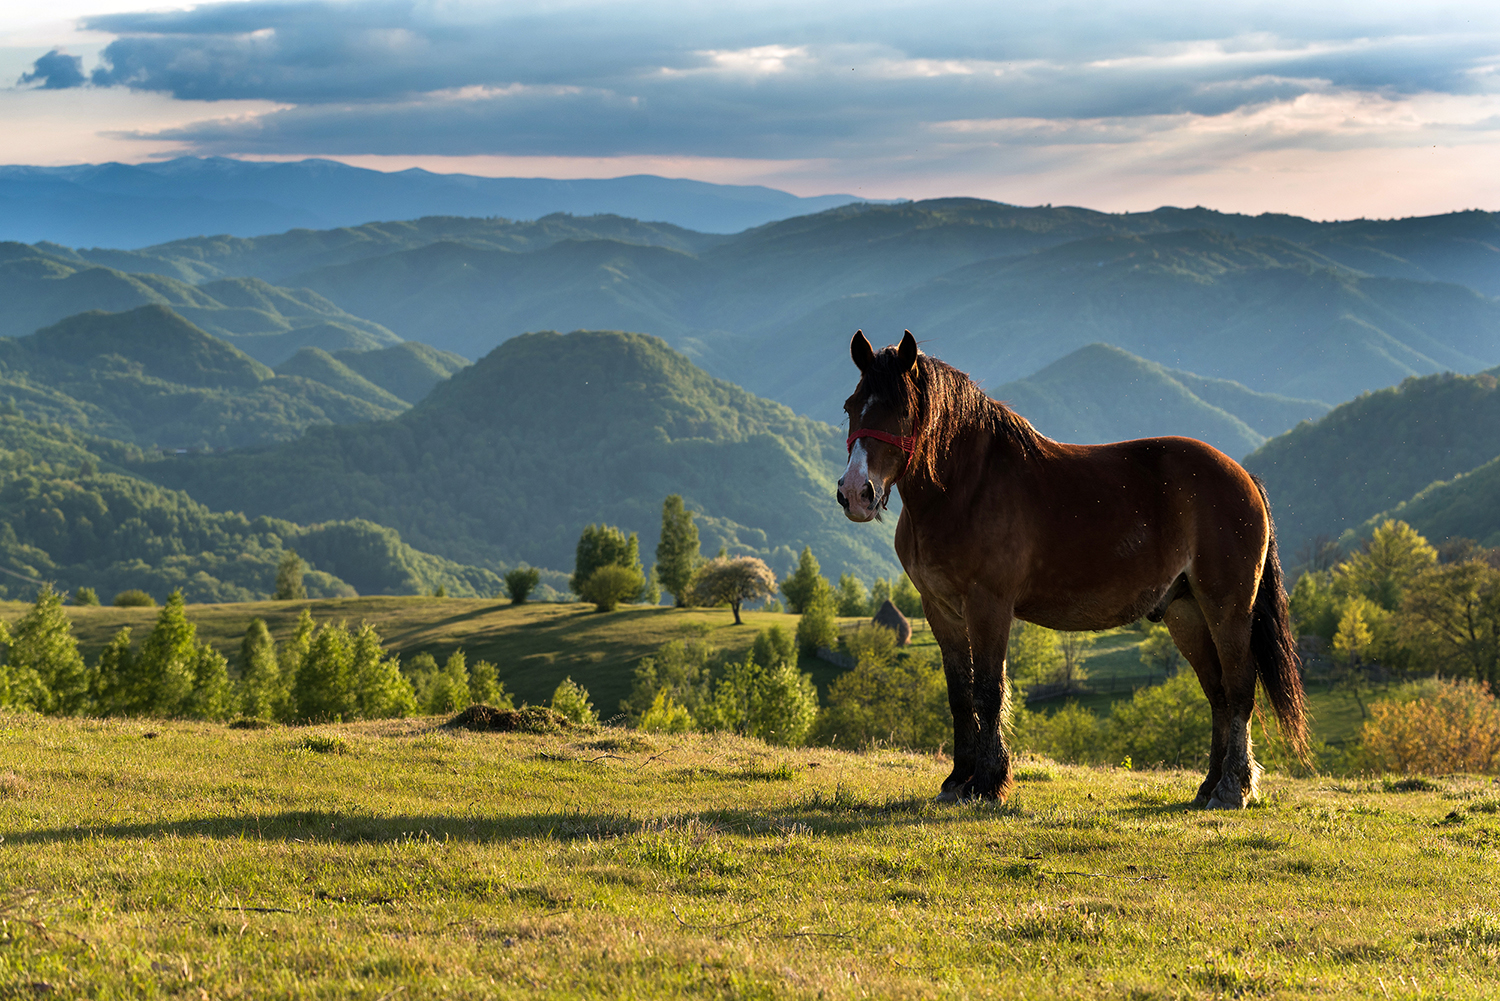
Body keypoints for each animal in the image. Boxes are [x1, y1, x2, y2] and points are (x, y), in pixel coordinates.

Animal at [840, 333, 1308, 810]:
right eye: (851, 406)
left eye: (901, 411)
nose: (855, 493)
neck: (966, 489)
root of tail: (1242, 476)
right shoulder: (940, 610)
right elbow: (960, 694)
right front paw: (957, 780)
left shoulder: (988, 606)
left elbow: (988, 691)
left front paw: (988, 782)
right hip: (1186, 613)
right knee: (1218, 695)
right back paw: (1209, 786)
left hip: (1226, 607)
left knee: (1239, 688)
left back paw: (1232, 788)